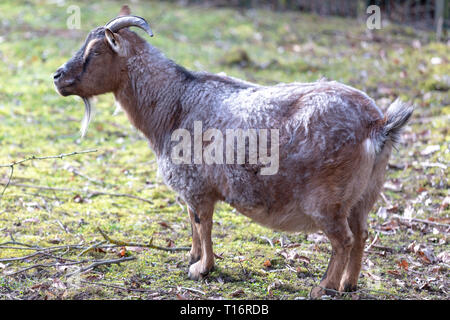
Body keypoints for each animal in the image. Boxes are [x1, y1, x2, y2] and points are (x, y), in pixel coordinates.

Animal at [51, 6, 412, 298]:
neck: (174, 105)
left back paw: (323, 288)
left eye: (96, 51)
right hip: (364, 196)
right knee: (362, 234)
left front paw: (202, 268)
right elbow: (192, 224)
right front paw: (192, 259)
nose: (57, 76)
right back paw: (349, 284)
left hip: (327, 199)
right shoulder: (192, 189)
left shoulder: (198, 187)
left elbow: (203, 225)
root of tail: (377, 124)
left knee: (343, 240)